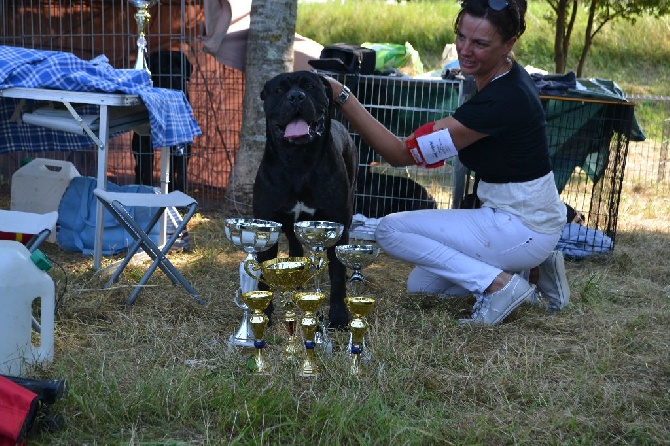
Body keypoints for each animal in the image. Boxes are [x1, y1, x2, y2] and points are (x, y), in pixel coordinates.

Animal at [252, 69, 356, 328]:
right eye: (279, 90)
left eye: (310, 87)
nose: (296, 97)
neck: (297, 160)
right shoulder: (267, 225)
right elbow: (264, 274)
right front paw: (263, 314)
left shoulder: (337, 227)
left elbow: (337, 276)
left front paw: (339, 317)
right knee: (295, 246)